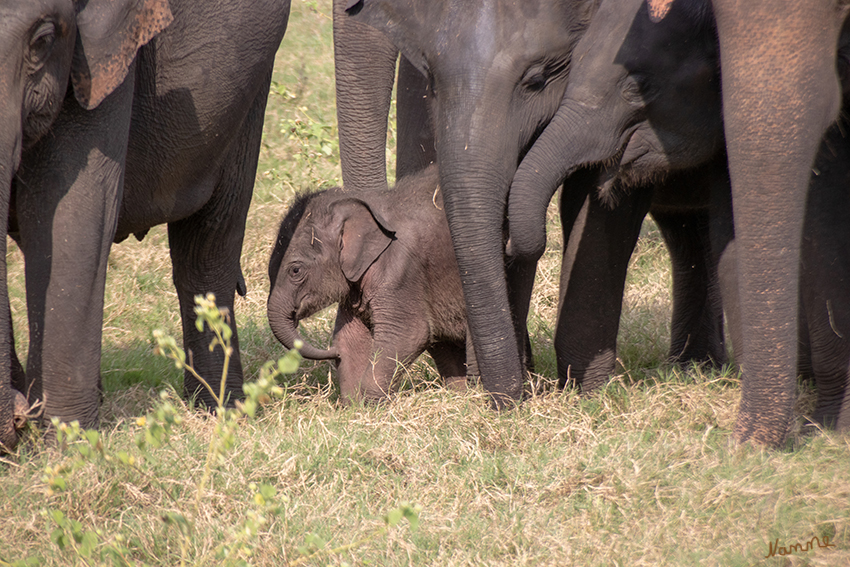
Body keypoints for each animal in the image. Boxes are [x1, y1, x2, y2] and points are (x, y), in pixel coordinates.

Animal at [0, 0, 292, 448]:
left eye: (43, 40)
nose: (16, 419)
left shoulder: (103, 58)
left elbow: (71, 211)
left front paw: (70, 449)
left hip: (251, 88)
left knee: (208, 243)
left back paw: (220, 411)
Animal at [266, 166, 468, 402]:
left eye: (295, 270)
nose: (331, 353)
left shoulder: (400, 271)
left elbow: (407, 335)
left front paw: (370, 403)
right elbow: (350, 338)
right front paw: (355, 406)